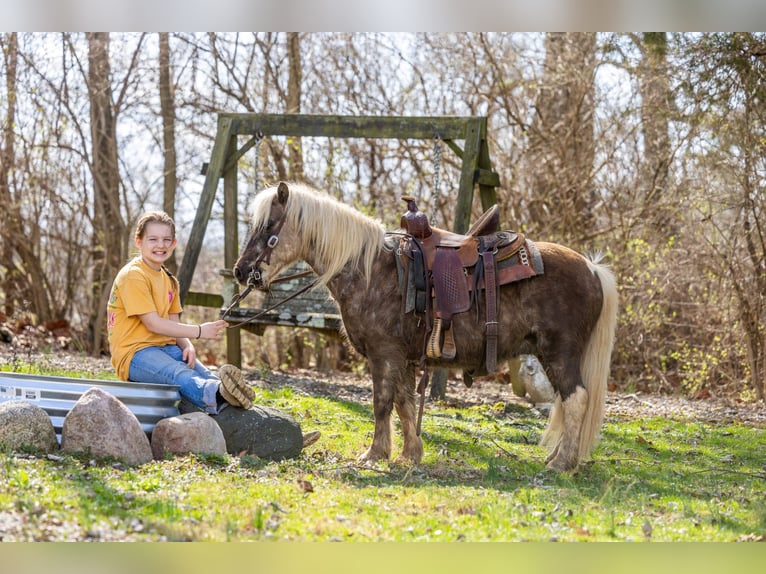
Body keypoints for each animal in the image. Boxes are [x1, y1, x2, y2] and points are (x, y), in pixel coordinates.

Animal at [233, 181, 618, 472]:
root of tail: (591, 268)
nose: (240, 271)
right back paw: (557, 457)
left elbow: (381, 402)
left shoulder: (383, 354)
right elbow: (405, 402)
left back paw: (563, 463)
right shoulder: (402, 358)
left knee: (576, 399)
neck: (370, 270)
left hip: (559, 353)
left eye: (270, 227)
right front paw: (410, 454)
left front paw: (375, 454)